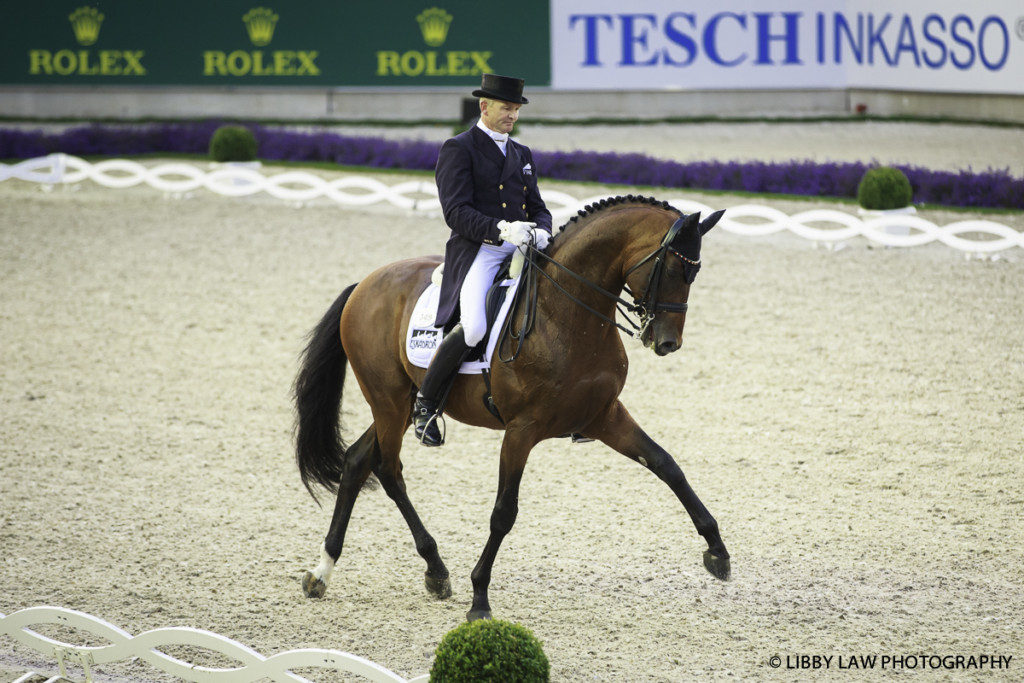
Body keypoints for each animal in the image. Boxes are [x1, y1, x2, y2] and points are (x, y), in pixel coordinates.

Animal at [292, 194, 733, 622]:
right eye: (674, 269)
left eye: (693, 275)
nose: (667, 343)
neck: (566, 316)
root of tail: (365, 283)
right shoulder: (522, 430)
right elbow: (504, 512)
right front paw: (480, 599)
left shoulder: (604, 416)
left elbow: (666, 465)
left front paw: (718, 552)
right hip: (388, 399)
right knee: (388, 470)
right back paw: (431, 568)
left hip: (399, 404)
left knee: (357, 460)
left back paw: (326, 572)